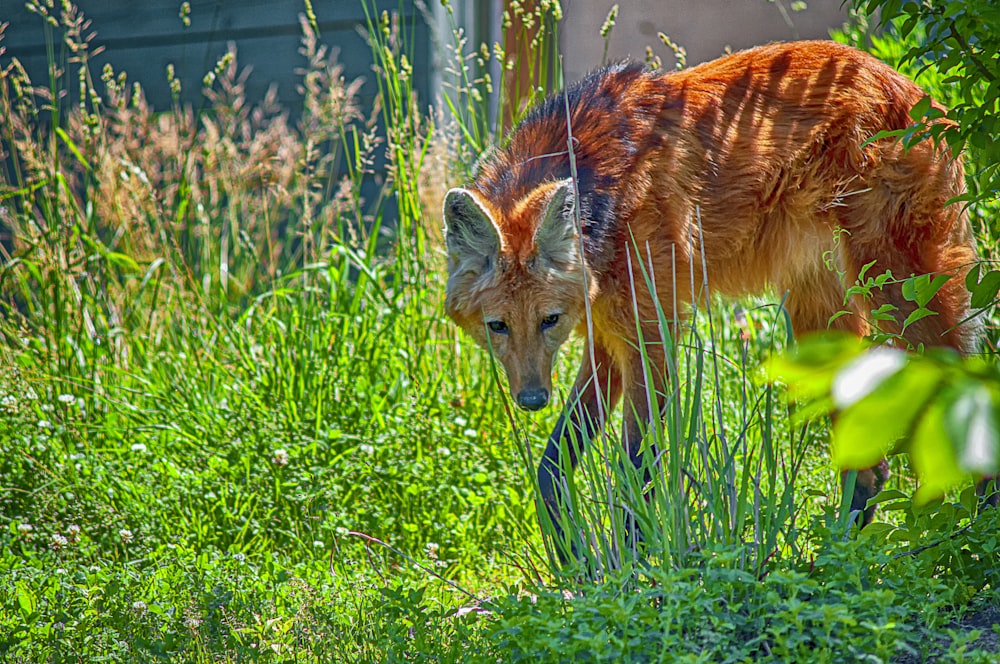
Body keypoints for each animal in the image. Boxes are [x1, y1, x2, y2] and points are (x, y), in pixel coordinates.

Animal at [442, 39, 980, 552]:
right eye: (498, 326)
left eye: (548, 320)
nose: (532, 399)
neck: (601, 193)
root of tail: (920, 93)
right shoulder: (609, 333)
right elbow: (551, 467)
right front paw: (576, 559)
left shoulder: (650, 335)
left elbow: (635, 469)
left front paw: (633, 571)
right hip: (819, 316)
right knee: (870, 469)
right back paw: (837, 554)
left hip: (898, 289)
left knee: (965, 388)